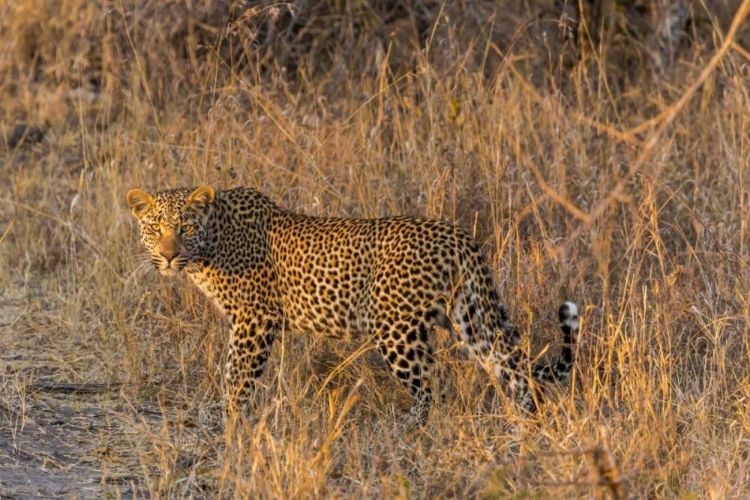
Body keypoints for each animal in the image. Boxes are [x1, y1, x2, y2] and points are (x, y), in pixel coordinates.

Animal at [126, 186, 580, 424]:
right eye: (156, 228)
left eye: (185, 228)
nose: (168, 256)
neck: (210, 246)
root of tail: (460, 237)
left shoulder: (254, 320)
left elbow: (236, 371)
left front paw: (229, 413)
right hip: (470, 317)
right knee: (509, 364)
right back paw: (526, 421)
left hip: (397, 330)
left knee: (429, 386)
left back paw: (411, 427)